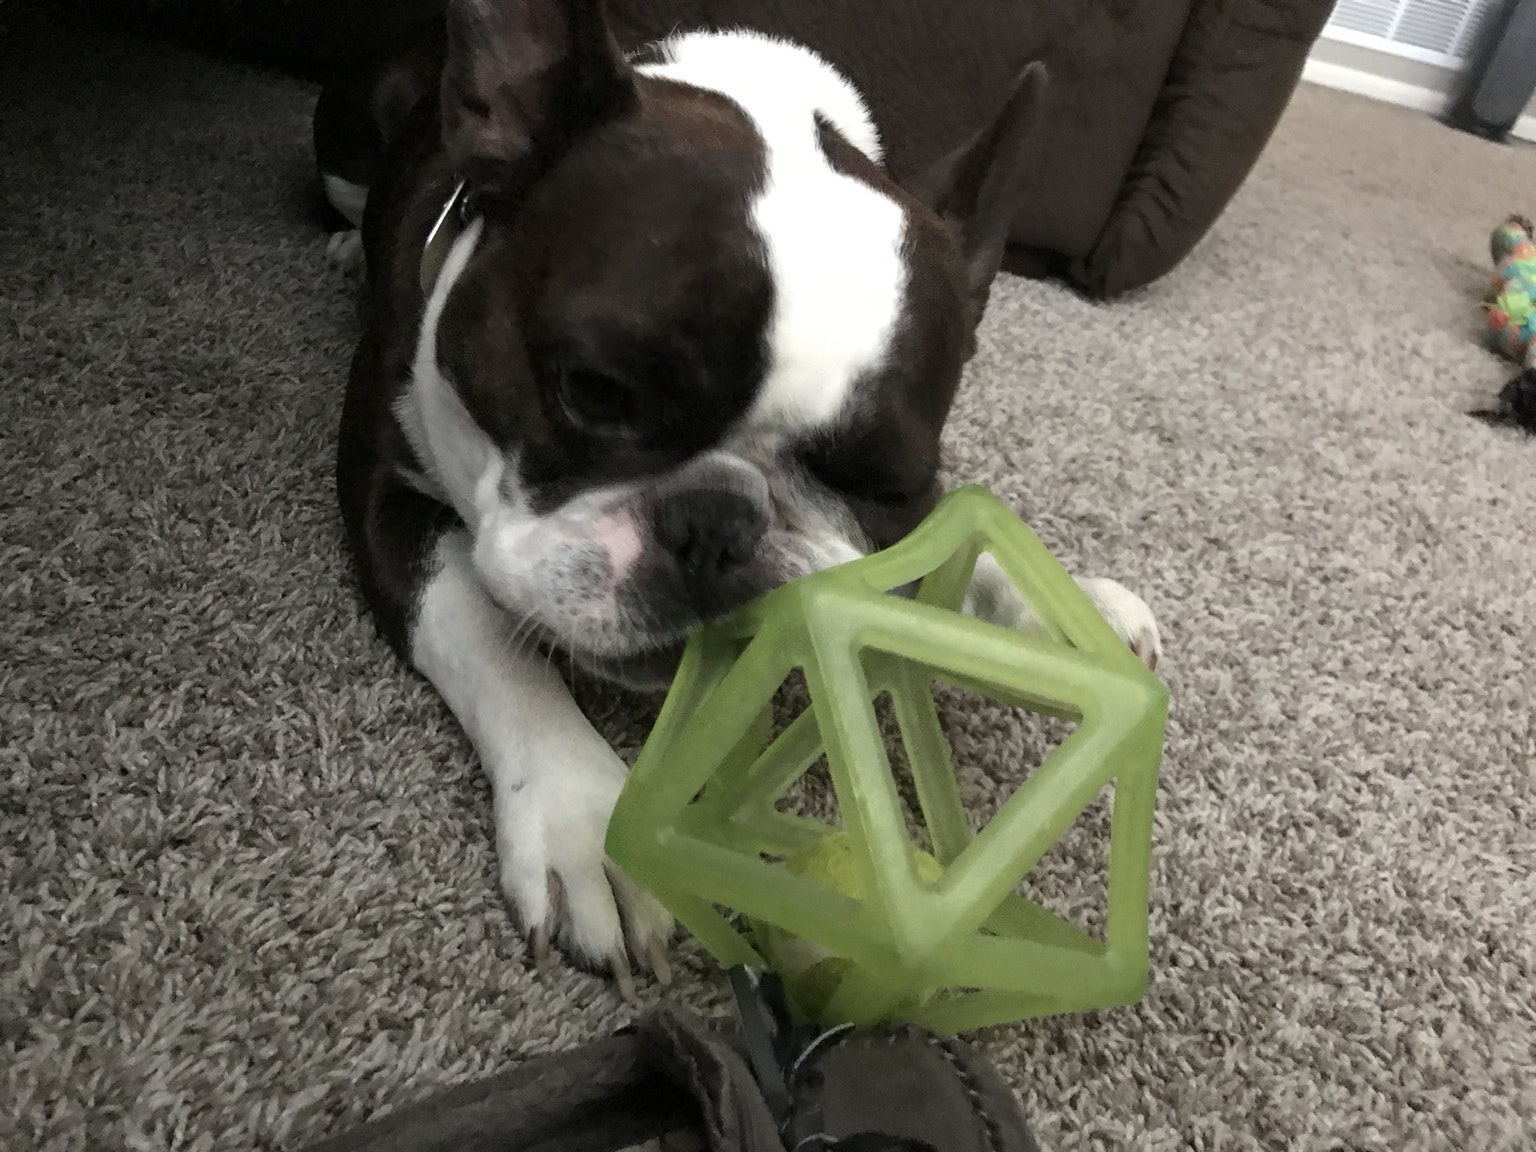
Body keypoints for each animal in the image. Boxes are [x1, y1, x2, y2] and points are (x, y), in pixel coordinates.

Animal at [317, 0, 1161, 995]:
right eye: (595, 391)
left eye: (884, 480)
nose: (717, 526)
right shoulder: (384, 491)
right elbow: (486, 636)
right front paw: (578, 815)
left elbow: (951, 538)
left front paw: (1052, 603)